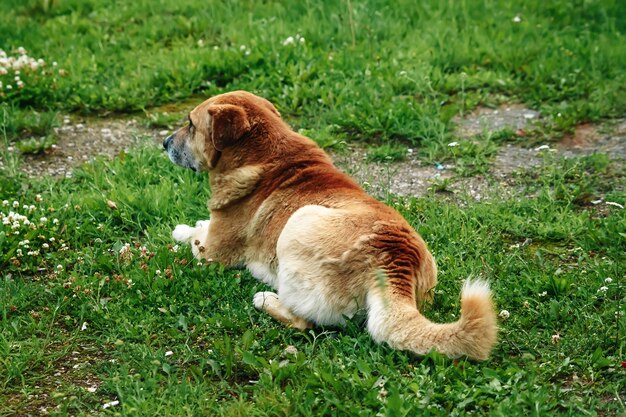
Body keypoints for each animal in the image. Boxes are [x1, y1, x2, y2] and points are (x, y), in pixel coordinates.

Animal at [163, 89, 494, 360]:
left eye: (190, 125)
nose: (164, 142)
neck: (263, 155)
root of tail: (394, 259)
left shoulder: (213, 253)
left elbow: (193, 236)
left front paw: (182, 229)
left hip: (299, 220)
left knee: (304, 322)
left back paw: (266, 298)